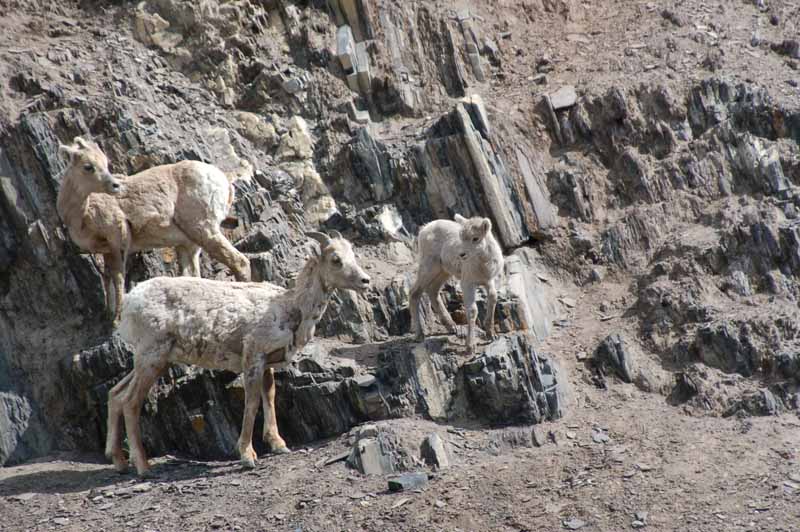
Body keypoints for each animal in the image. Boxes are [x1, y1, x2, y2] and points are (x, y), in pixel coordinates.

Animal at [57, 137, 250, 324]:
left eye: (105, 163)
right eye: (88, 166)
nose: (115, 185)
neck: (81, 214)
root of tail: (224, 182)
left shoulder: (118, 240)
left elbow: (118, 278)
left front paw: (117, 319)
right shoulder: (106, 251)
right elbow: (107, 279)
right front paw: (108, 315)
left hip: (204, 230)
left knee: (239, 262)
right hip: (189, 245)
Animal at [104, 231, 372, 476]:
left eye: (352, 255)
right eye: (336, 259)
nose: (365, 281)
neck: (290, 308)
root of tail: (130, 301)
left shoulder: (267, 362)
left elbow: (269, 396)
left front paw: (278, 445)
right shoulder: (252, 357)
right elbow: (251, 403)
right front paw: (247, 456)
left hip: (152, 360)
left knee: (116, 394)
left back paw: (119, 462)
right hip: (152, 356)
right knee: (130, 402)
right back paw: (143, 467)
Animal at [410, 214, 504, 356]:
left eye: (475, 238)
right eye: (461, 237)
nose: (462, 254)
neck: (483, 266)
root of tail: (425, 229)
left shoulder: (489, 281)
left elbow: (493, 298)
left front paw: (491, 335)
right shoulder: (468, 284)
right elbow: (472, 310)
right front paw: (470, 347)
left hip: (443, 271)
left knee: (433, 291)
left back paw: (452, 327)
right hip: (429, 267)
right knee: (414, 293)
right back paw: (419, 335)